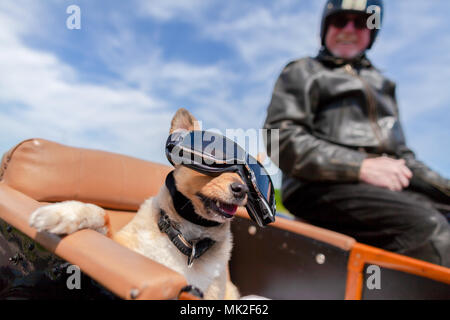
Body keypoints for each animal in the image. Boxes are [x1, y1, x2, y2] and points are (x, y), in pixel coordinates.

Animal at [28, 108, 246, 300]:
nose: (242, 189)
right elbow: (102, 215)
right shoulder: (122, 247)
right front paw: (63, 212)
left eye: (246, 174)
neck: (186, 239)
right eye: (212, 160)